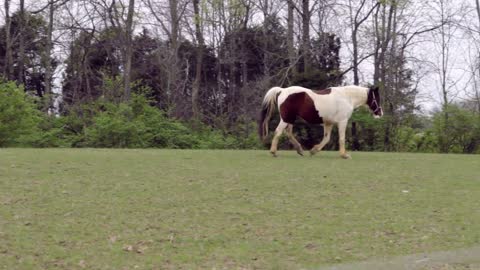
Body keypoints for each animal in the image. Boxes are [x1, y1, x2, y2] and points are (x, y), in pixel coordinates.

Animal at [256, 85, 384, 158]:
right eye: (377, 98)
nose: (380, 113)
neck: (346, 97)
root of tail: (282, 90)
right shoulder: (342, 122)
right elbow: (341, 139)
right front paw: (344, 155)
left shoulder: (328, 123)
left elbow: (326, 139)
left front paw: (313, 150)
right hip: (286, 118)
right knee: (278, 131)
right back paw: (273, 152)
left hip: (290, 119)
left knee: (288, 133)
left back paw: (300, 150)